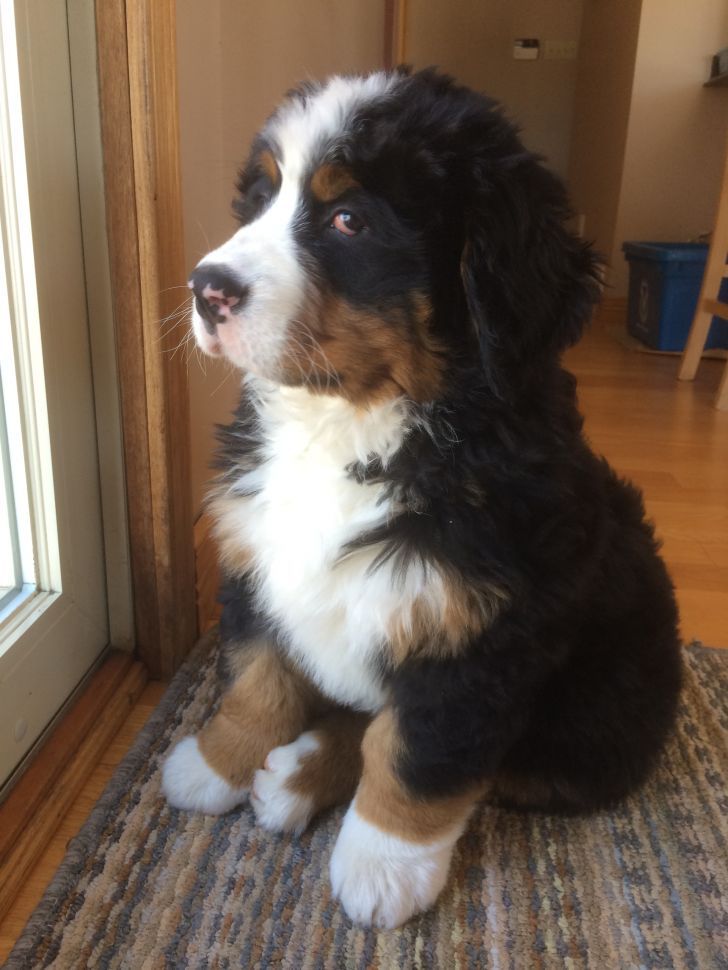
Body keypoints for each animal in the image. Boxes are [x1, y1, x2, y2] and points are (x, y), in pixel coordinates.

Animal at [162, 70, 684, 932]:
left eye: (349, 218)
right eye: (260, 201)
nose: (206, 289)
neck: (351, 424)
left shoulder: (473, 633)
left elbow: (414, 757)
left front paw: (381, 867)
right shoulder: (254, 566)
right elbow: (257, 683)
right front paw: (215, 763)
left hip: (597, 719)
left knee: (489, 760)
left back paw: (303, 776)